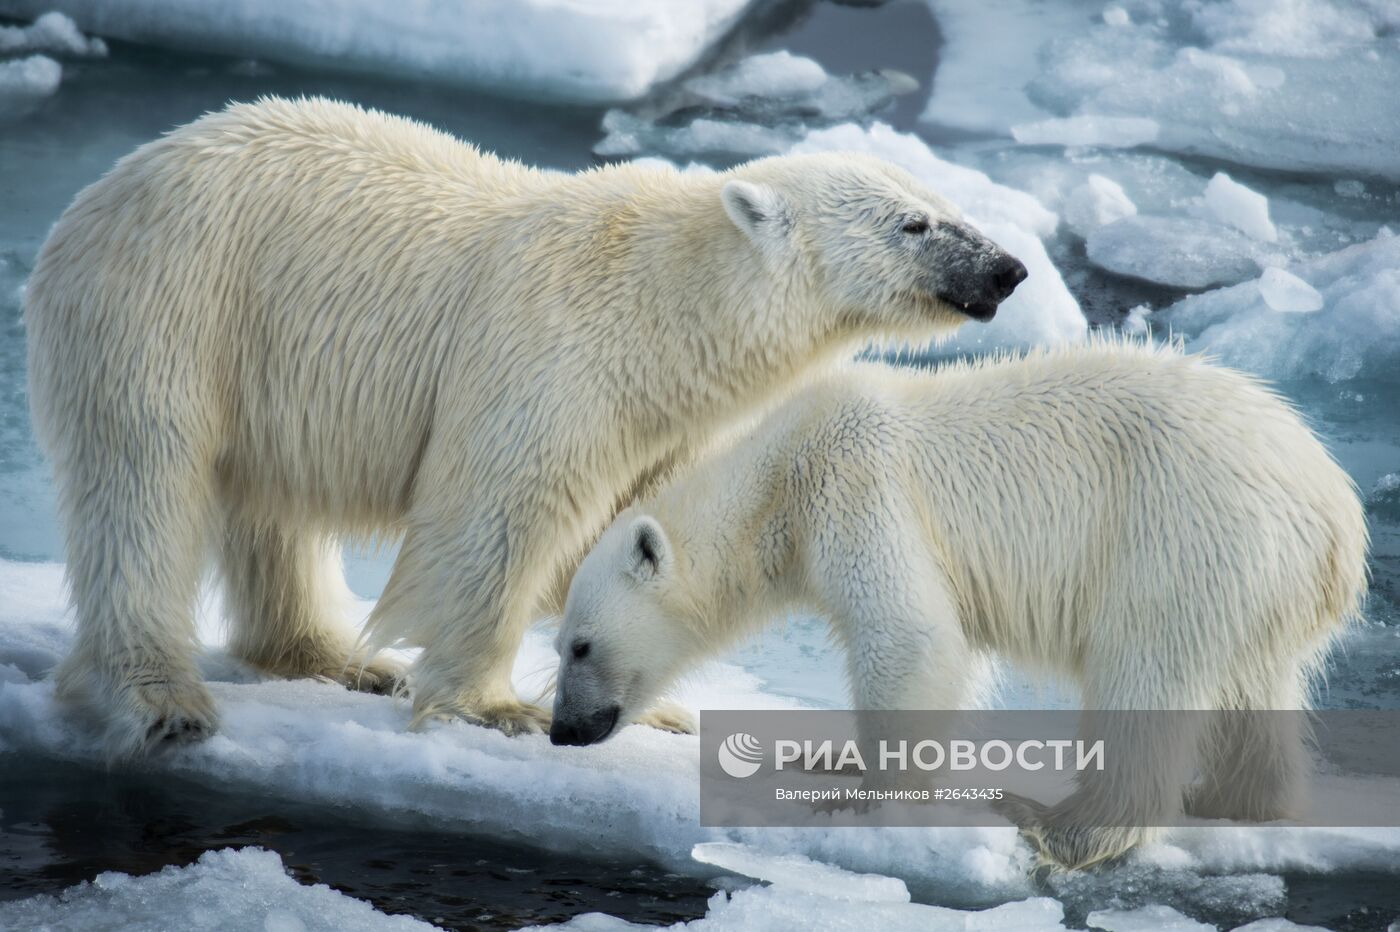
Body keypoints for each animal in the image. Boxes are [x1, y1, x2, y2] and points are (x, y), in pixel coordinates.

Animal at [24, 95, 1030, 755]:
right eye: (913, 223)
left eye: (948, 205)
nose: (1010, 268)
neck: (660, 309)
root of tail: (97, 196)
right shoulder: (552, 357)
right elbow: (498, 517)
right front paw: (492, 705)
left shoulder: (657, 416)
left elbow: (630, 536)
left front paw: (656, 708)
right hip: (170, 308)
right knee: (144, 489)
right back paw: (162, 700)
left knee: (272, 508)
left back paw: (330, 654)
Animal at [551, 337, 1360, 867]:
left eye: (580, 644)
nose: (562, 731)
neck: (780, 473)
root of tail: (1336, 515)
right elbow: (949, 650)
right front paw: (829, 757)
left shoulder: (859, 487)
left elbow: (908, 636)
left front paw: (864, 800)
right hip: (1257, 582)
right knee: (1256, 690)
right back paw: (1239, 798)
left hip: (1182, 537)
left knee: (1147, 673)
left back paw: (1061, 824)